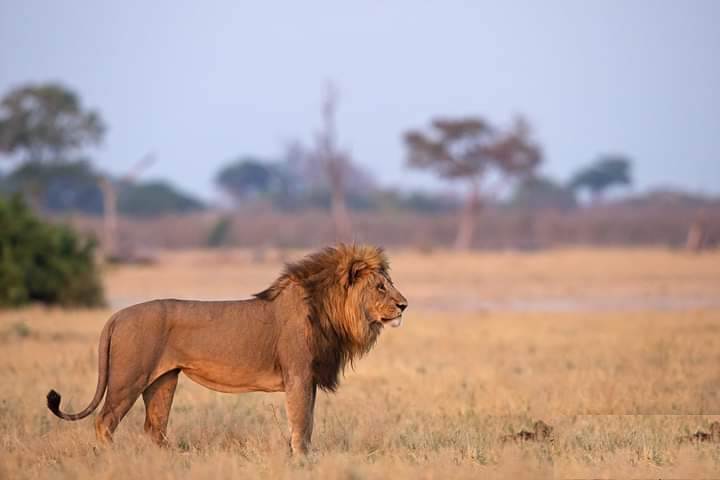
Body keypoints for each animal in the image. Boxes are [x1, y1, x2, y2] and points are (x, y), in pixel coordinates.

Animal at [46, 244, 407, 454]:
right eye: (380, 287)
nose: (404, 305)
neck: (329, 311)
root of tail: (116, 315)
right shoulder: (298, 375)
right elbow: (301, 423)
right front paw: (302, 460)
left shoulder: (310, 379)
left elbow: (308, 422)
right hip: (128, 379)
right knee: (105, 421)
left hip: (163, 381)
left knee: (154, 428)